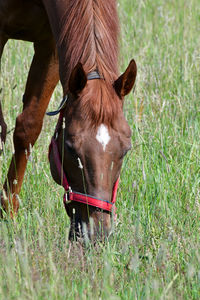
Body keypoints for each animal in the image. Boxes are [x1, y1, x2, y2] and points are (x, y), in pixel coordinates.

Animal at [0, 0, 137, 241]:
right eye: (71, 149)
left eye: (125, 150)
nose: (97, 233)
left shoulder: (52, 45)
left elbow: (28, 127)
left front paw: (9, 211)